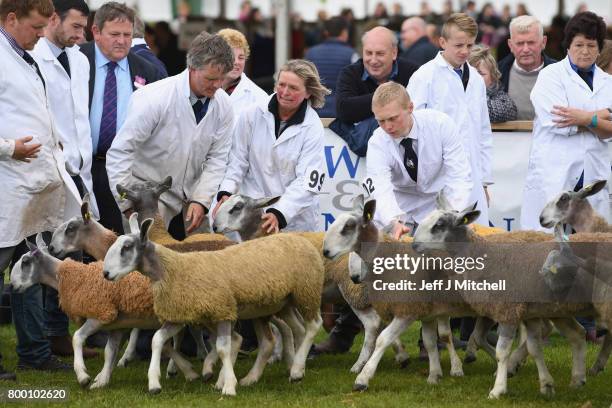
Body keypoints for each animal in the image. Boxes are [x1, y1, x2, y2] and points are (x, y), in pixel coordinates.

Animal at [8, 233, 198, 388]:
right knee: (177, 337)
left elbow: (77, 338)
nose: (11, 286)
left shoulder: (100, 314)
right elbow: (110, 352)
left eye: (25, 262)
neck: (69, 277)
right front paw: (102, 379)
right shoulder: (118, 323)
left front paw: (83, 376)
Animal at [103, 218, 328, 396]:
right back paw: (272, 373)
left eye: (126, 247)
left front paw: (228, 386)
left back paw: (295, 369)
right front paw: (154, 383)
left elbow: (222, 347)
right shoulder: (180, 316)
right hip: (278, 304)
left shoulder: (223, 311)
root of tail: (298, 238)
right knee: (281, 336)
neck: (174, 269)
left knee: (313, 325)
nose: (105, 274)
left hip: (306, 290)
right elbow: (157, 340)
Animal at [213, 194, 414, 372]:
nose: (214, 226)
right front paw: (291, 354)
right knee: (383, 323)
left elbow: (280, 328)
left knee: (372, 324)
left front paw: (281, 357)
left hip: (353, 289)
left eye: (237, 207)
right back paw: (401, 356)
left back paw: (359, 366)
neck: (262, 238)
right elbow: (287, 327)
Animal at [412, 195, 612, 398]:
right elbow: (534, 348)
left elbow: (502, 352)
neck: (487, 256)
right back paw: (578, 379)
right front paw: (546, 385)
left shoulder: (508, 310)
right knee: (578, 334)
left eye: (439, 225)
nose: (413, 244)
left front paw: (498, 389)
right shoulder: (528, 313)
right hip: (559, 310)